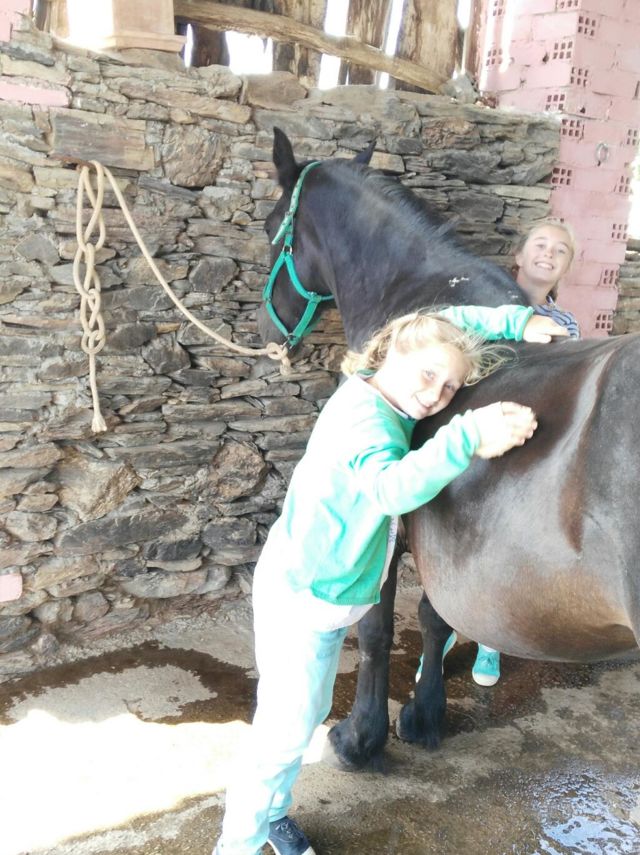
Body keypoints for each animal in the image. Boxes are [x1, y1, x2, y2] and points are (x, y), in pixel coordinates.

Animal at [255, 127, 640, 771]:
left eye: (268, 227)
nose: (267, 332)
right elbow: (435, 620)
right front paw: (425, 714)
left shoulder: (388, 522)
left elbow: (377, 628)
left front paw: (360, 738)